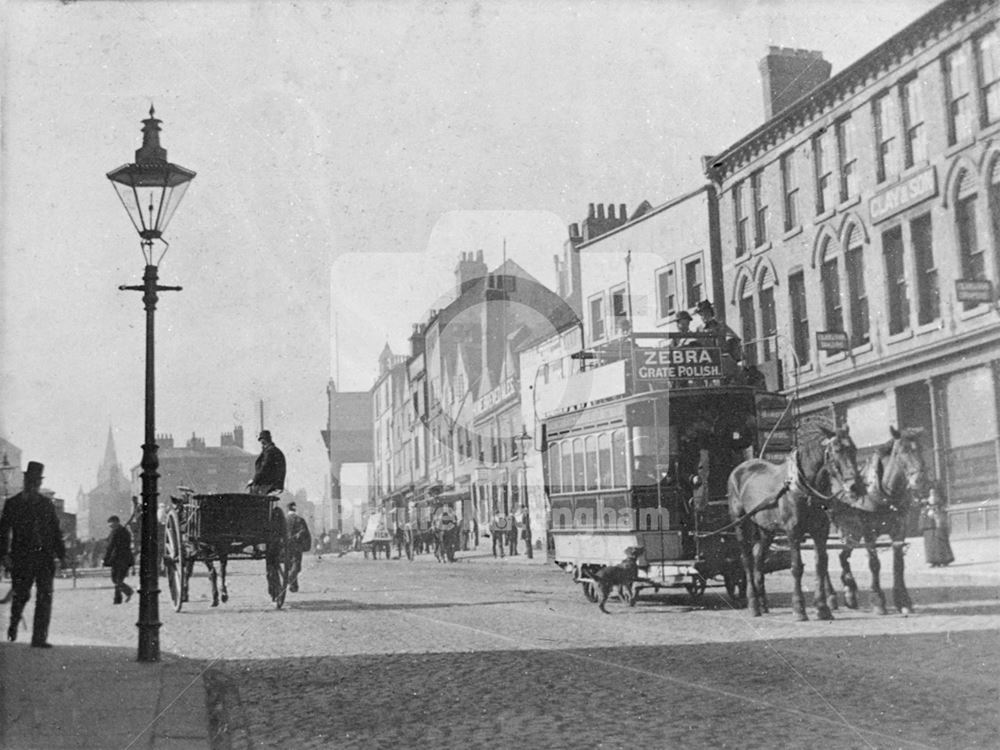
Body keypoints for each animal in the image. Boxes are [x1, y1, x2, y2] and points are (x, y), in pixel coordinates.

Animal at [728, 418, 868, 624]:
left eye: (854, 449)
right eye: (836, 450)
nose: (855, 486)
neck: (803, 487)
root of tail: (740, 469)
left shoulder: (820, 531)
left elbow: (820, 565)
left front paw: (823, 608)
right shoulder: (793, 532)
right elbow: (796, 567)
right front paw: (799, 609)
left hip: (766, 529)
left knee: (758, 559)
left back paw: (763, 603)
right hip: (740, 523)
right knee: (746, 559)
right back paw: (753, 604)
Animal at [828, 428, 928, 616]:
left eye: (921, 448)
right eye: (901, 452)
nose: (920, 480)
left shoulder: (899, 530)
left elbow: (899, 564)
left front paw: (903, 600)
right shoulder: (869, 532)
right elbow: (874, 564)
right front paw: (878, 600)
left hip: (852, 533)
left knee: (843, 556)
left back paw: (850, 592)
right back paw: (831, 596)